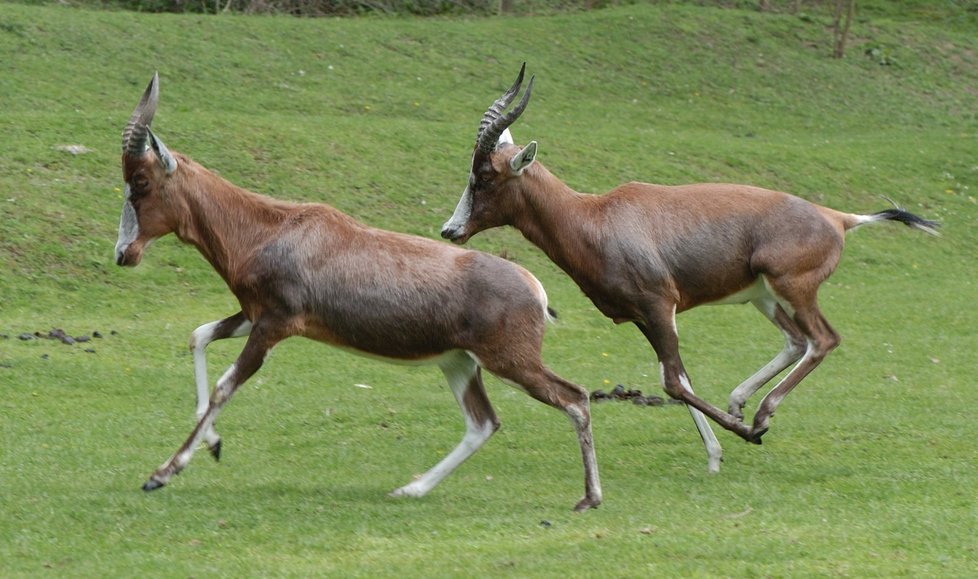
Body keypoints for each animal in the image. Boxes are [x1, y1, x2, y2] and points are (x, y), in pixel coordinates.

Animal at [115, 73, 604, 512]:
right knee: (483, 423)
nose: (124, 253)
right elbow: (198, 336)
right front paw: (213, 444)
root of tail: (534, 287)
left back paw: (589, 499)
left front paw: (161, 474)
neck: (273, 227)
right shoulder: (254, 314)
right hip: (459, 362)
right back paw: (410, 490)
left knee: (575, 398)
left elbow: (223, 386)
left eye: (141, 183)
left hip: (510, 362)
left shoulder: (274, 324)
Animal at [438, 64, 936, 472]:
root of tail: (837, 218)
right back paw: (740, 403)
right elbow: (678, 377)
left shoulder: (660, 306)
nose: (450, 230)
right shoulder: (644, 317)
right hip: (763, 296)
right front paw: (716, 453)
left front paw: (745, 437)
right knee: (797, 341)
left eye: (485, 176)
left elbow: (673, 382)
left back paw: (759, 417)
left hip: (793, 288)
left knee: (822, 339)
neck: (595, 216)